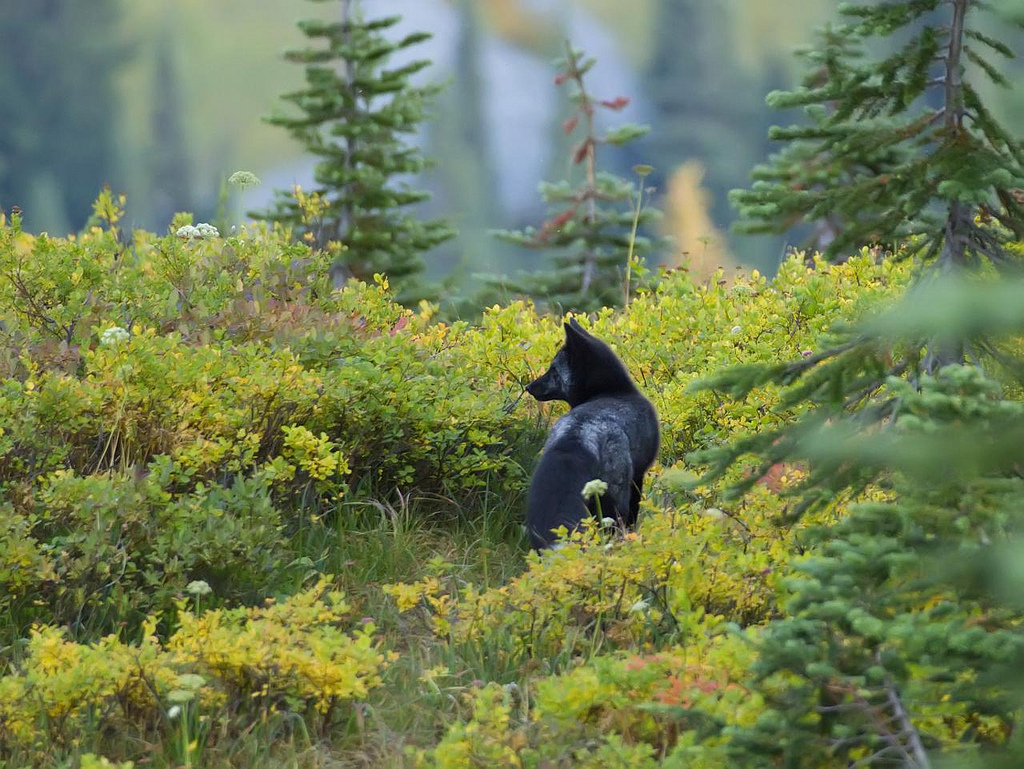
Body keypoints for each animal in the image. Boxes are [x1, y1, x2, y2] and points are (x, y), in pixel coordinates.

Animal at [524, 319, 660, 549]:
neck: (615, 391)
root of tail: (576, 437)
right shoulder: (639, 475)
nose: (528, 387)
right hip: (616, 500)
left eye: (553, 370)